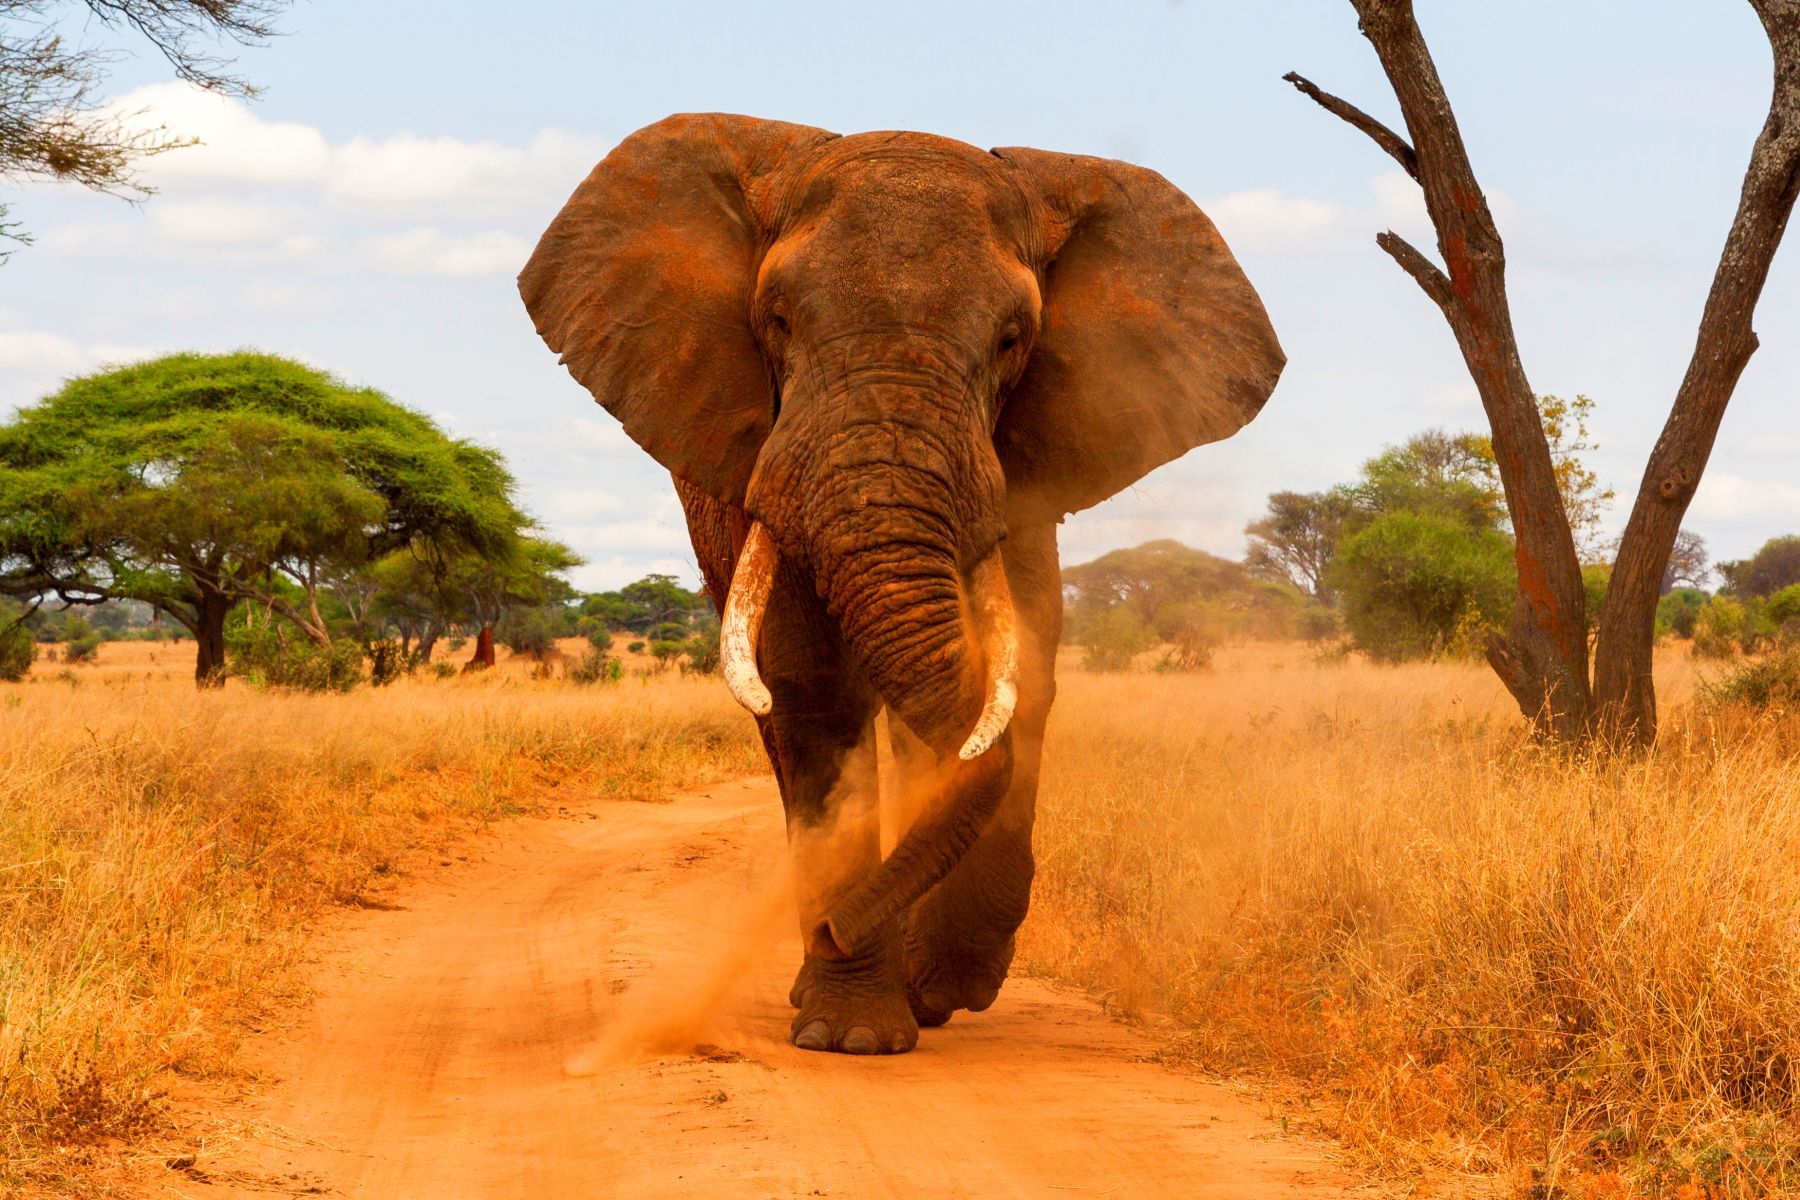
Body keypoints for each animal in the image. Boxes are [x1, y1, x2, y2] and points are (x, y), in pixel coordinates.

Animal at [519, 113, 1283, 1055]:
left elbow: (1018, 682)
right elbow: (814, 693)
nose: (834, 928)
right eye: (776, 320)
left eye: (1012, 340)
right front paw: (852, 1032)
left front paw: (939, 985)